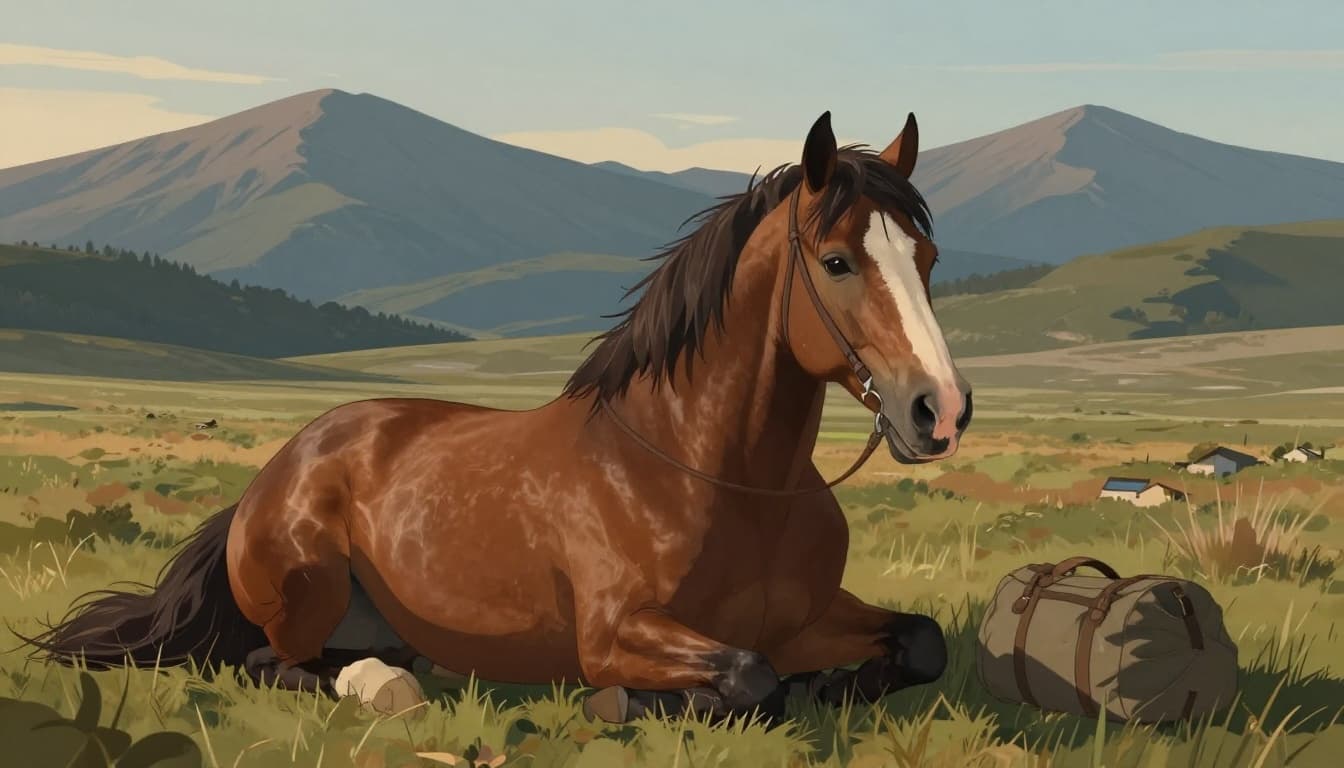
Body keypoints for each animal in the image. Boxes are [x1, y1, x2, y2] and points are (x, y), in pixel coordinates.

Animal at [22, 110, 973, 724]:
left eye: (926, 256)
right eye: (838, 260)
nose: (940, 410)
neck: (722, 477)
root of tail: (279, 467)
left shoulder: (812, 617)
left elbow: (920, 643)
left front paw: (833, 687)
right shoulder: (619, 632)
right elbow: (749, 679)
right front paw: (644, 701)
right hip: (305, 595)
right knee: (273, 665)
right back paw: (385, 685)